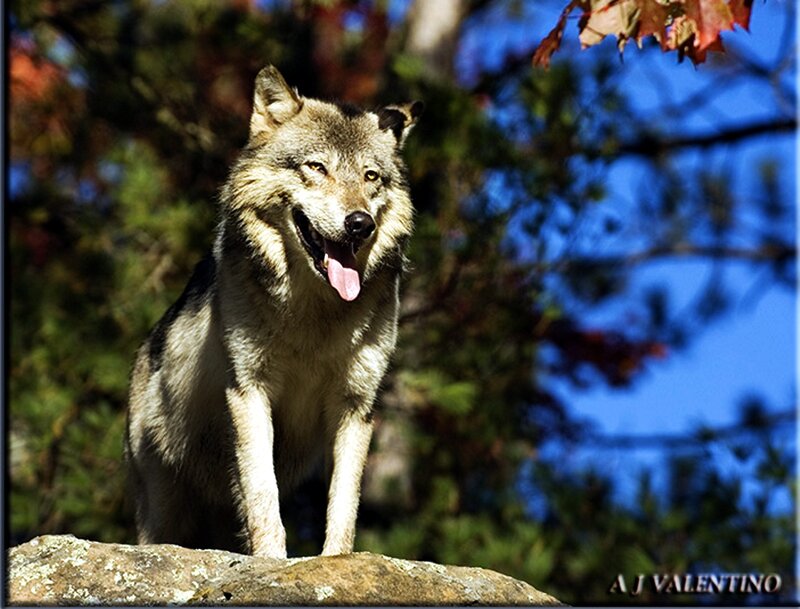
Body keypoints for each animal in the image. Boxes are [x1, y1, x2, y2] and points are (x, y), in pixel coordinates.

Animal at [125, 65, 422, 558]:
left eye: (371, 177)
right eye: (317, 167)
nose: (360, 223)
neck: (314, 317)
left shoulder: (355, 405)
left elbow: (344, 504)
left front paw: (335, 561)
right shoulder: (250, 390)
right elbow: (263, 496)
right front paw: (271, 562)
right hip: (164, 502)